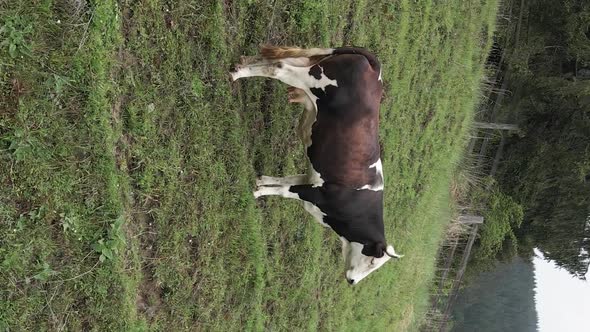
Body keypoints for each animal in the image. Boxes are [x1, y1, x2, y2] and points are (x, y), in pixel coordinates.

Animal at [230, 46, 402, 286]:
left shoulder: (311, 180)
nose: (353, 282)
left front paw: (260, 183)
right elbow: (285, 190)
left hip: (309, 63)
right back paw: (237, 74)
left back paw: (241, 64)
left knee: (279, 59)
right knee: (279, 67)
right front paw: (256, 193)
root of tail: (374, 67)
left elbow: (284, 182)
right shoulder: (316, 193)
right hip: (310, 78)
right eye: (372, 262)